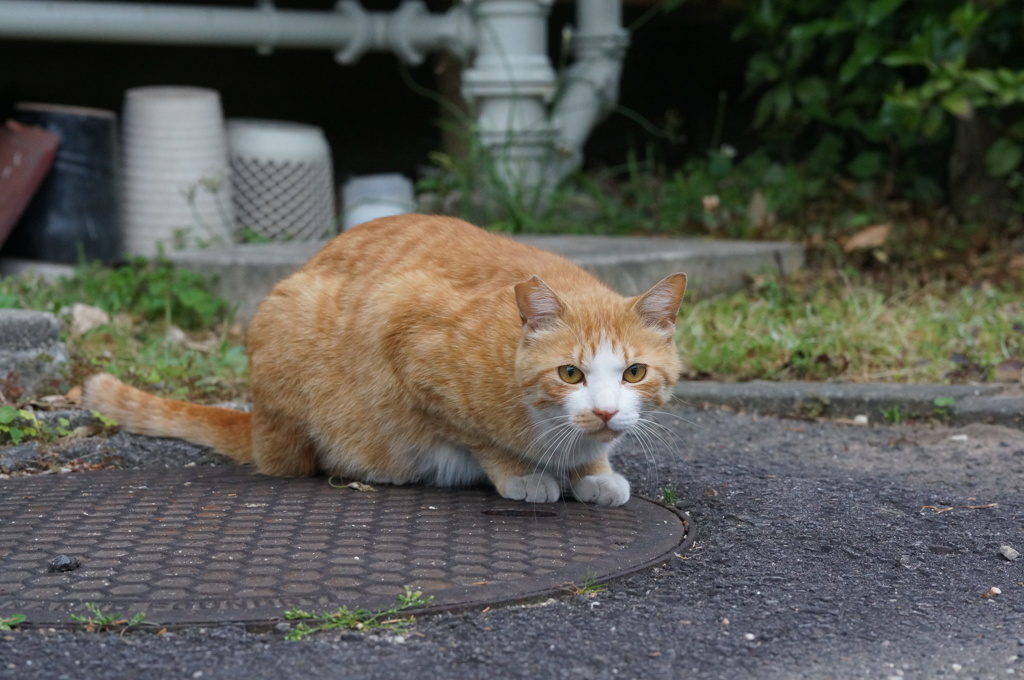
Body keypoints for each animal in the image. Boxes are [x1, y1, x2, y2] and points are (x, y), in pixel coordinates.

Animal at [83, 215, 684, 507]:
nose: (604, 413)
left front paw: (595, 474)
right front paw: (523, 475)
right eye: (570, 374)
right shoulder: (407, 339)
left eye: (634, 372)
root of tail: (257, 427)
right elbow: (482, 439)